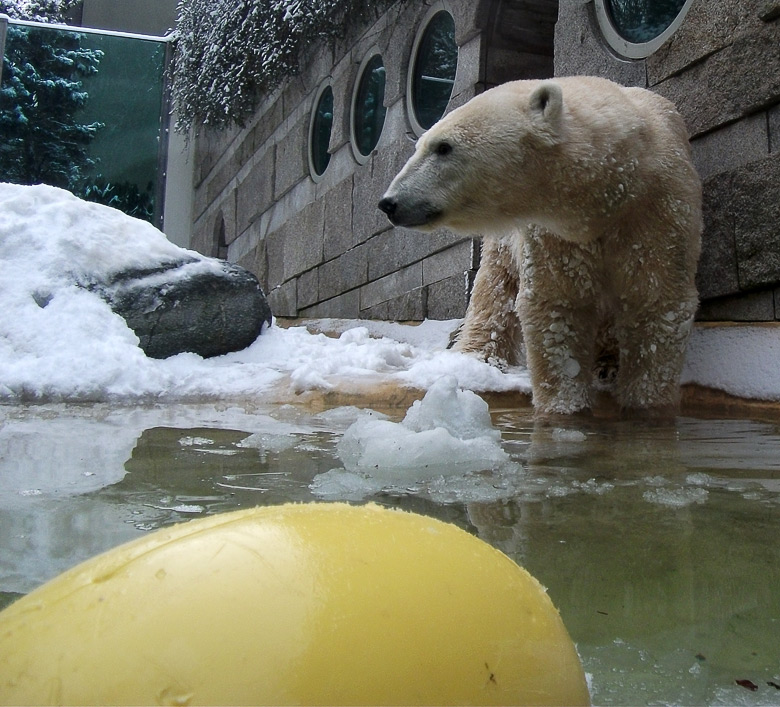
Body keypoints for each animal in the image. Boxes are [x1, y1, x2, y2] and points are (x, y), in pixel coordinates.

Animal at [380, 77, 704, 418]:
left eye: (443, 147)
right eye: (422, 145)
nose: (389, 203)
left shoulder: (656, 211)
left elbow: (656, 300)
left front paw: (647, 409)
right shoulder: (553, 235)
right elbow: (557, 306)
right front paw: (565, 410)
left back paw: (607, 362)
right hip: (503, 242)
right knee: (494, 289)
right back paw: (475, 356)